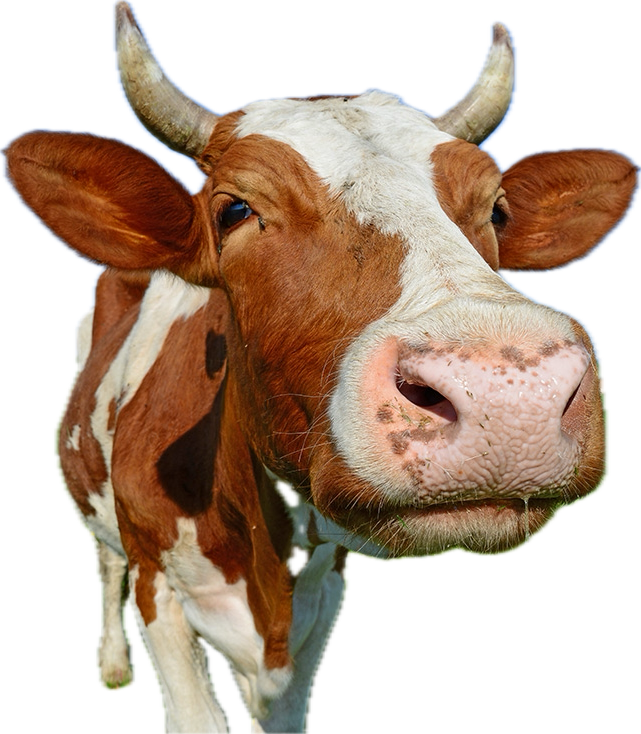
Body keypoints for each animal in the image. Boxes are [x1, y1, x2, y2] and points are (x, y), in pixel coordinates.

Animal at [2, 1, 635, 731]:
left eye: (497, 209)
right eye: (235, 208)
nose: (509, 388)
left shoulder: (324, 590)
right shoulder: (158, 583)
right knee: (104, 562)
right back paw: (110, 665)